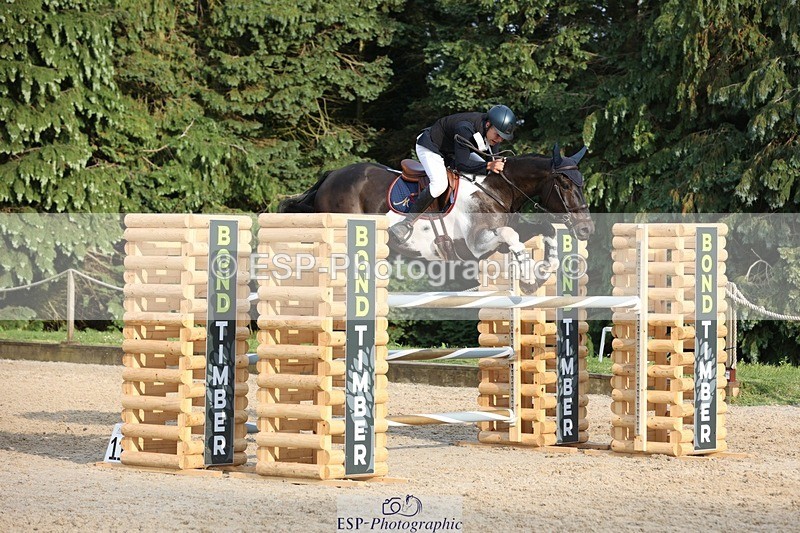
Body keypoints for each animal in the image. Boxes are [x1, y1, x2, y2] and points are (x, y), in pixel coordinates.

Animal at [278, 144, 594, 291]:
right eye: (565, 184)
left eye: (581, 183)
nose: (586, 229)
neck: (496, 189)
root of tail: (332, 175)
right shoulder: (475, 245)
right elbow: (512, 235)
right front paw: (529, 275)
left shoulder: (494, 242)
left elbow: (545, 229)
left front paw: (542, 272)